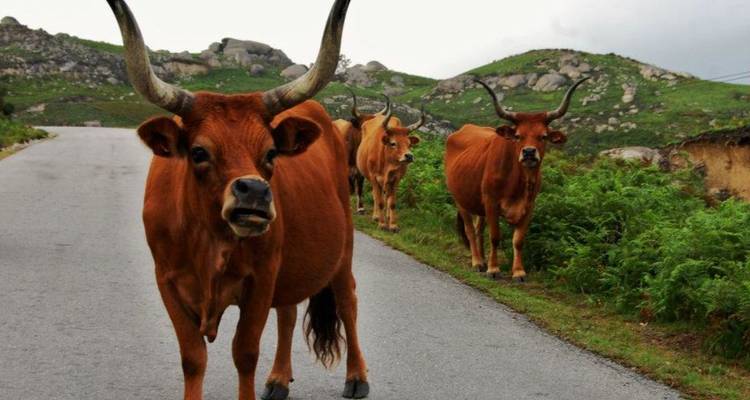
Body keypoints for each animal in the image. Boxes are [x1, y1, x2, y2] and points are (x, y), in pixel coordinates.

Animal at [106, 1, 369, 399]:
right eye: (198, 152)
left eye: (271, 153)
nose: (255, 192)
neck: (210, 240)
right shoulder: (166, 281)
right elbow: (193, 358)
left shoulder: (261, 280)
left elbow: (245, 353)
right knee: (288, 312)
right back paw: (278, 379)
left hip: (343, 247)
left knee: (347, 301)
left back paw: (357, 377)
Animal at [356, 103, 425, 232]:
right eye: (393, 143)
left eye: (409, 144)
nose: (409, 156)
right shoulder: (374, 178)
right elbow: (379, 201)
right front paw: (382, 224)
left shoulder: (396, 179)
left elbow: (392, 202)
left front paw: (393, 225)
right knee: (376, 196)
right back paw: (377, 216)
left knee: (386, 196)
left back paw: (387, 216)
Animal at [445, 77, 588, 282]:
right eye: (518, 136)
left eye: (543, 136)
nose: (528, 152)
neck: (518, 182)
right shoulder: (491, 202)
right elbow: (495, 237)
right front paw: (493, 269)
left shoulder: (529, 206)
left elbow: (518, 240)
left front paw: (519, 272)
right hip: (460, 200)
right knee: (470, 231)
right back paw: (477, 262)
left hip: (478, 204)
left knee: (479, 230)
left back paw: (482, 259)